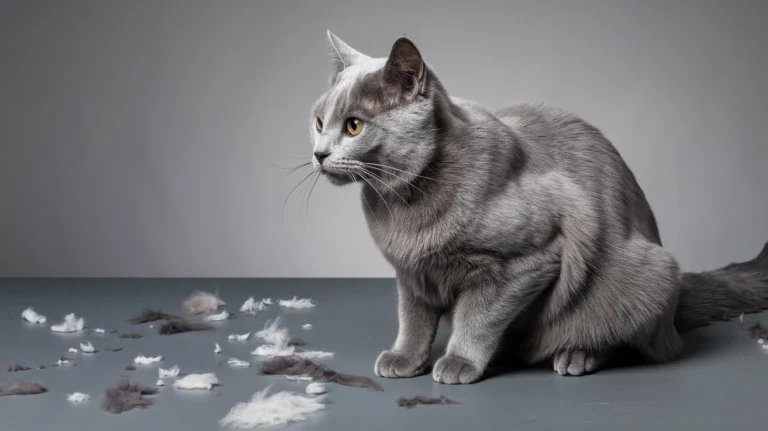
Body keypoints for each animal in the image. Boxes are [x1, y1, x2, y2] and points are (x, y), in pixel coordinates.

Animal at [306, 33, 768, 384]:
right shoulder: (412, 272)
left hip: (648, 274)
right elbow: (413, 319)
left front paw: (459, 362)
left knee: (632, 343)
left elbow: (477, 317)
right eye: (318, 122)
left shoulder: (526, 262)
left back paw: (576, 356)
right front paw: (404, 358)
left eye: (354, 126)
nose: (319, 153)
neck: (401, 202)